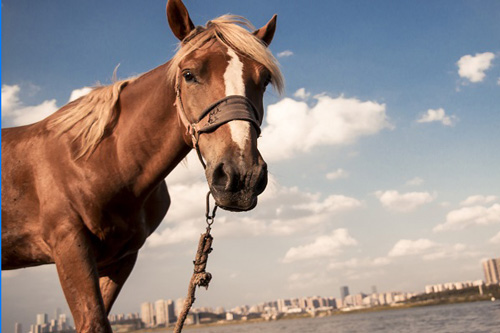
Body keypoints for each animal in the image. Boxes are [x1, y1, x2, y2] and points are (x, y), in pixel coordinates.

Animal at [0, 1, 282, 330]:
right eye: (189, 74)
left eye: (264, 80)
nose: (241, 175)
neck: (102, 161)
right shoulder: (69, 246)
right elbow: (94, 321)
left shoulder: (121, 259)